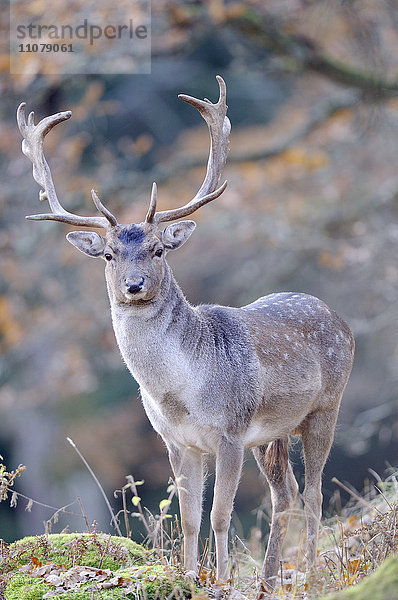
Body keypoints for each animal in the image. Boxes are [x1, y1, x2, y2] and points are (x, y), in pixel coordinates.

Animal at [17, 76, 354, 584]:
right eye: (109, 255)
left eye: (158, 250)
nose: (134, 285)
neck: (179, 392)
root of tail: (341, 320)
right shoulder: (177, 442)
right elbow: (191, 516)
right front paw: (192, 577)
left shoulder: (230, 432)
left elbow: (220, 514)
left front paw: (221, 578)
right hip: (273, 433)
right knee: (287, 493)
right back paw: (270, 577)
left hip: (325, 407)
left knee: (314, 492)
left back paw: (312, 571)